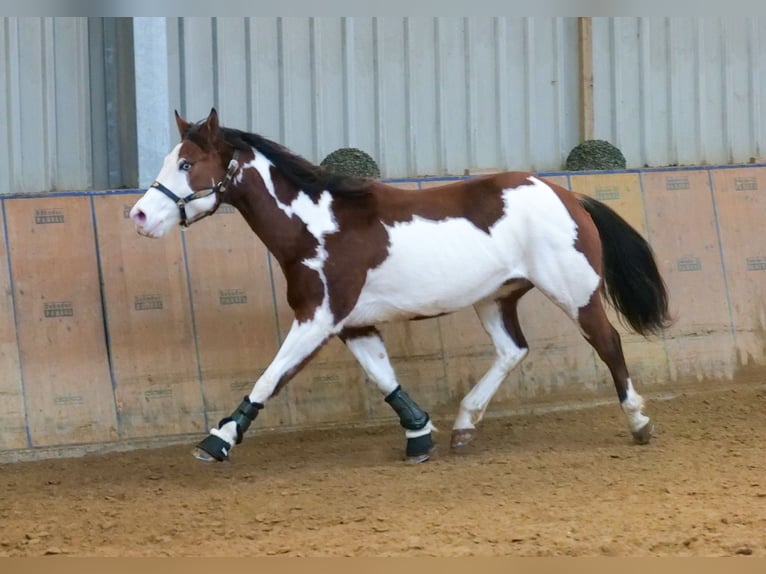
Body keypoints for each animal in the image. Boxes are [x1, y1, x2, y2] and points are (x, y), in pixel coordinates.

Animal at [130, 108, 672, 466]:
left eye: (186, 164)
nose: (138, 216)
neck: (317, 226)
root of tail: (567, 195)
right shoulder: (352, 325)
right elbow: (384, 377)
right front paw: (421, 436)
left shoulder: (318, 318)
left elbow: (271, 377)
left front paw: (217, 440)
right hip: (495, 298)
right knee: (512, 351)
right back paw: (464, 426)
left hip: (574, 293)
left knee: (608, 343)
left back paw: (639, 422)